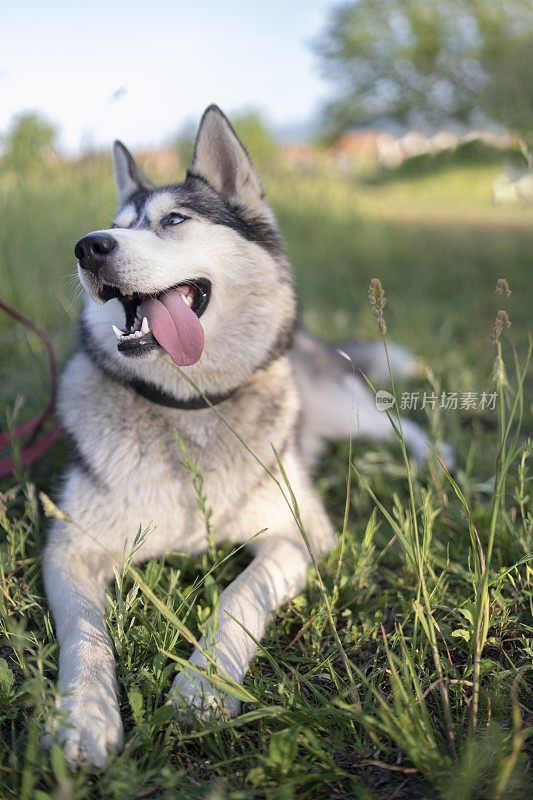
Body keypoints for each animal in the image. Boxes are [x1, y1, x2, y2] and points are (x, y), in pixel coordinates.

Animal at [41, 106, 440, 768]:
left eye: (175, 220)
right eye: (113, 227)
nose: (88, 246)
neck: (191, 408)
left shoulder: (300, 537)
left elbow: (239, 595)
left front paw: (202, 686)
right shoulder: (70, 547)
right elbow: (84, 635)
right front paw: (83, 715)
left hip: (345, 408)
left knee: (400, 424)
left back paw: (438, 462)